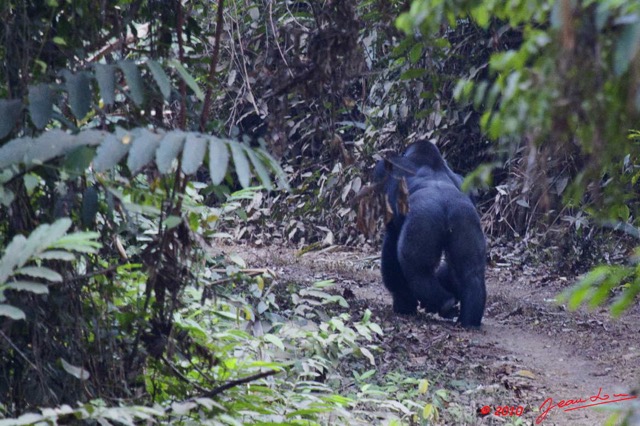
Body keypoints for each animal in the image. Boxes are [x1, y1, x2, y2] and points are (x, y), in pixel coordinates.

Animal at [376, 141, 484, 328]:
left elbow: (391, 246)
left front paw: (403, 301)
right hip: (465, 219)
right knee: (472, 271)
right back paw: (469, 320)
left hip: (423, 220)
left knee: (417, 269)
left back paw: (443, 303)